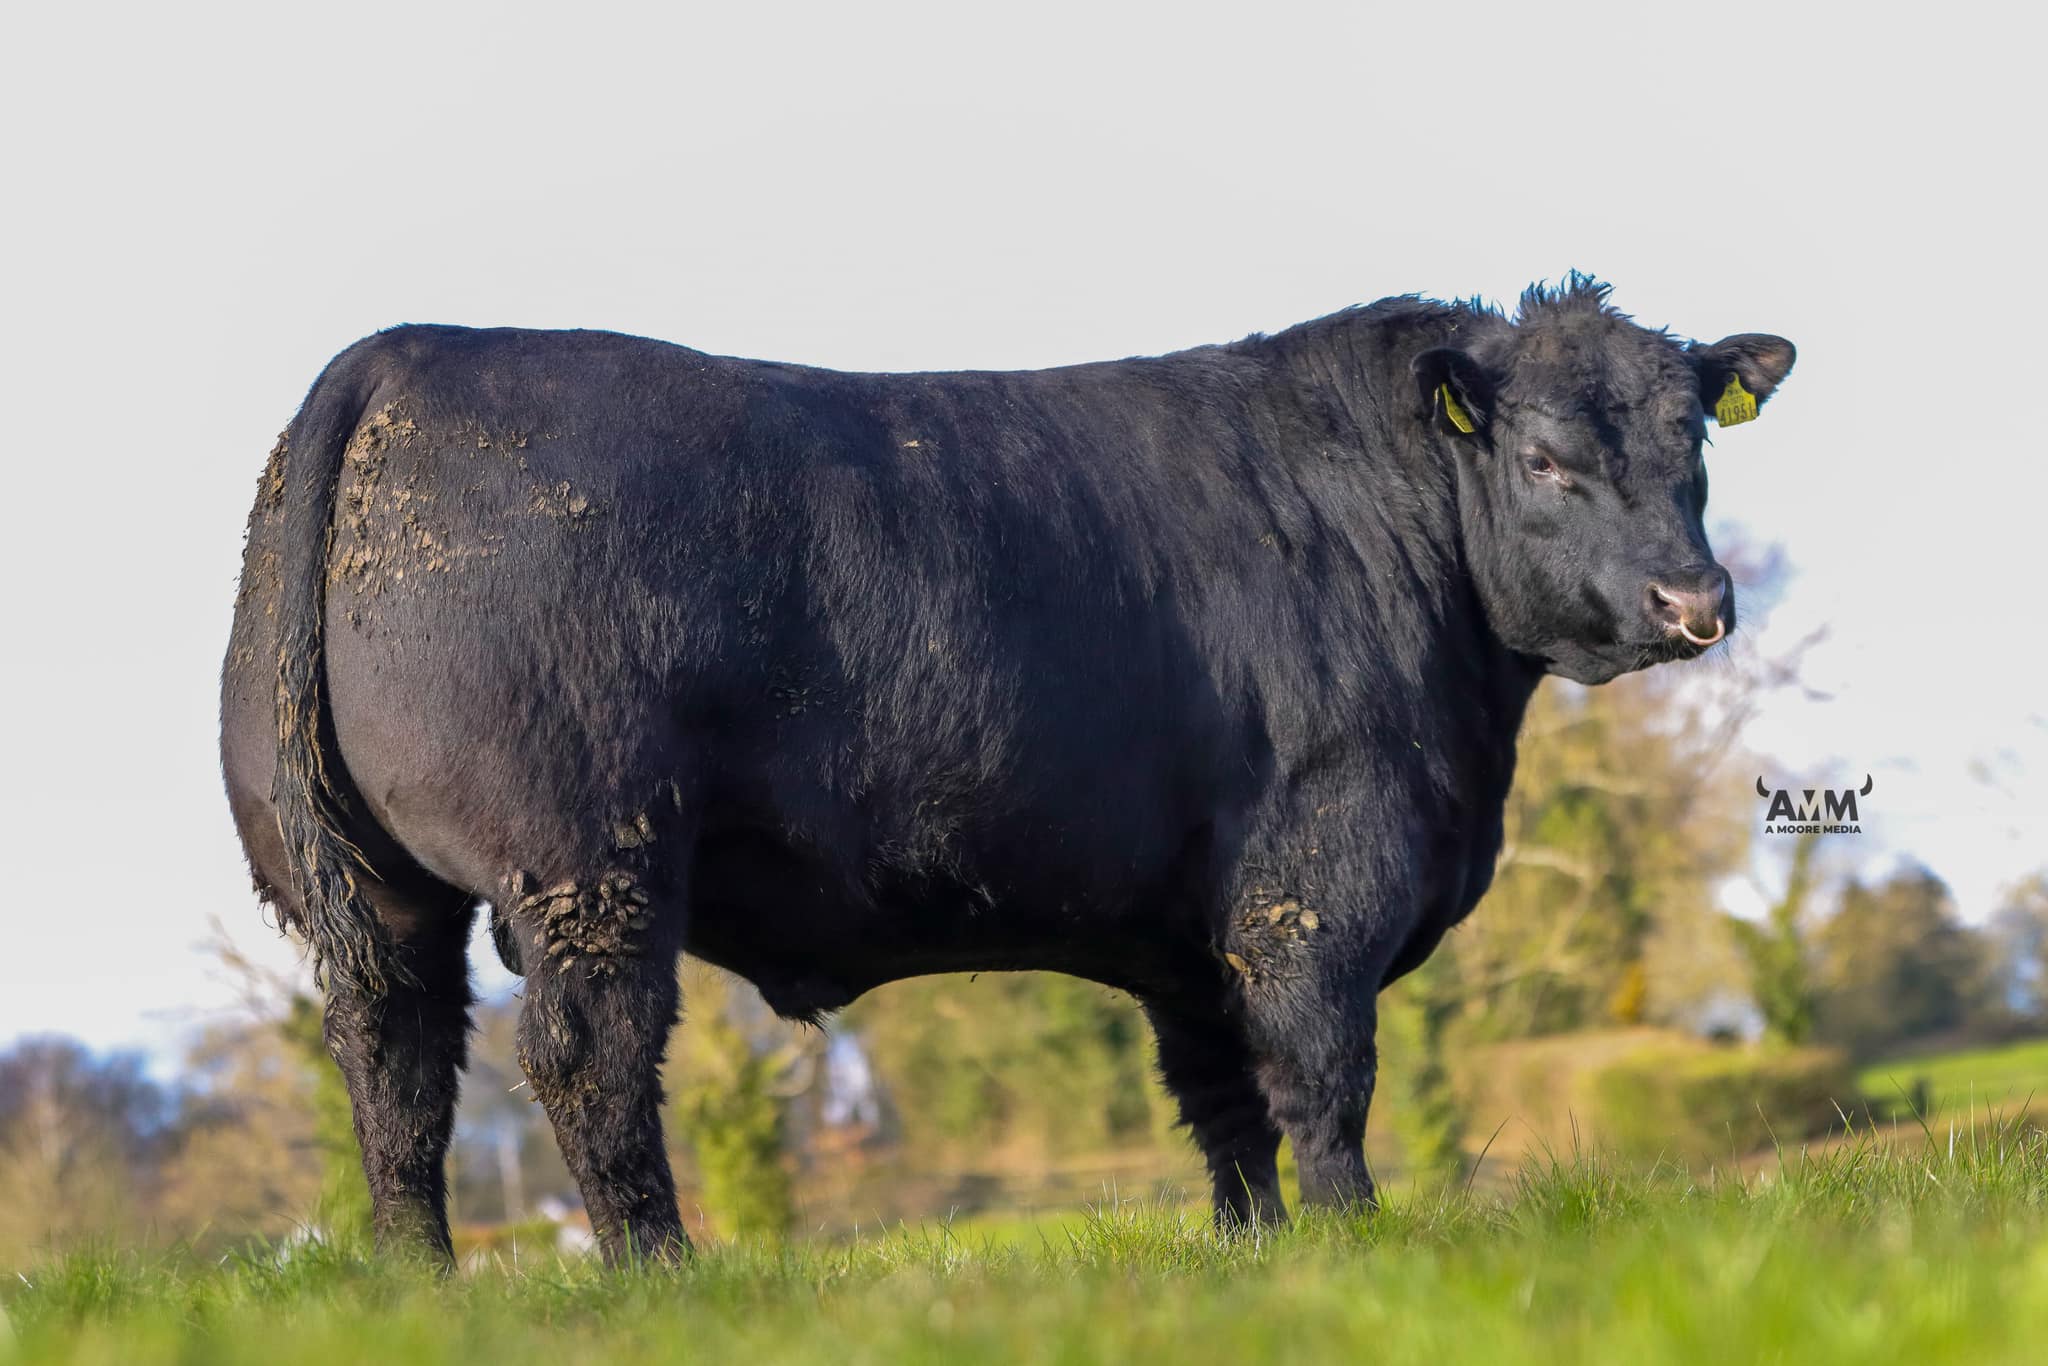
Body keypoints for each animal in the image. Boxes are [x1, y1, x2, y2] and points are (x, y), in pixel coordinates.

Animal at [220, 275, 1793, 1263]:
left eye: (1693, 440)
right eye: (1541, 459)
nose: (1695, 600)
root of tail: (404, 353)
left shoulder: (1187, 924)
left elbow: (1220, 1096)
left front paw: (1260, 1252)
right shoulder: (1317, 875)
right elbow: (1319, 1070)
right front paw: (1357, 1240)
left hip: (369, 890)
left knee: (394, 1065)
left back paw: (417, 1279)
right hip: (588, 866)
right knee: (585, 1059)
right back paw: (658, 1272)